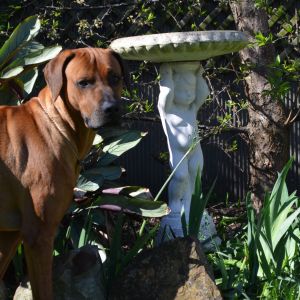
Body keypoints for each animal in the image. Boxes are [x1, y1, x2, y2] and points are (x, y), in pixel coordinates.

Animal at [0, 48, 125, 298]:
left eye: (115, 78)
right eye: (83, 82)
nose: (112, 109)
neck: (55, 122)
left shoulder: (9, 236)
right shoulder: (39, 235)